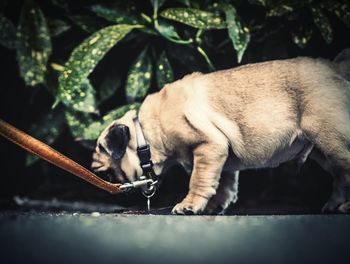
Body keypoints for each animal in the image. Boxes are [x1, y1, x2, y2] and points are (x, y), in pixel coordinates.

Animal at [91, 49, 348, 214]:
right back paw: (335, 205)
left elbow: (199, 180)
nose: (114, 191)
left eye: (109, 174)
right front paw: (215, 206)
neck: (145, 130)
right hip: (323, 151)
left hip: (330, 138)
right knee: (340, 176)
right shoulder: (221, 155)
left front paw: (190, 205)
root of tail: (335, 67)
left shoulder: (208, 146)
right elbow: (223, 183)